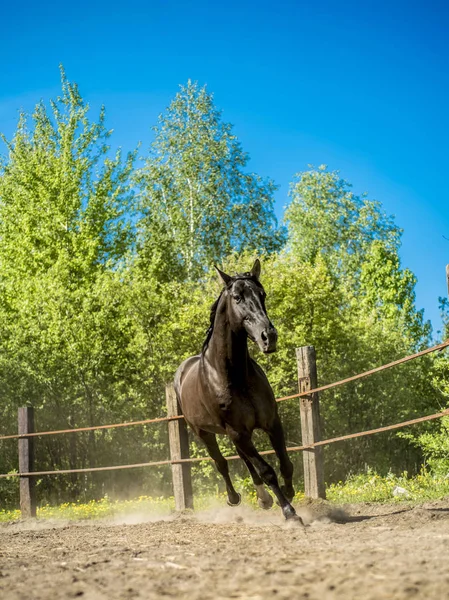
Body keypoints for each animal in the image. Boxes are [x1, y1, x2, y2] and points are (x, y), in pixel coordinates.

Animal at [173, 260, 302, 524]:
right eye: (237, 297)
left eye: (262, 294)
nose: (268, 337)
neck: (234, 376)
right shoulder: (238, 432)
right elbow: (266, 470)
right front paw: (289, 512)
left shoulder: (271, 423)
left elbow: (285, 463)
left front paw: (288, 493)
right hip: (205, 433)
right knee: (221, 463)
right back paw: (234, 498)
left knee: (242, 458)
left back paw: (264, 499)